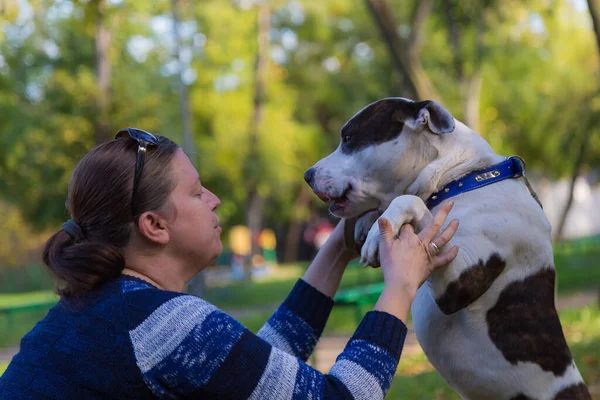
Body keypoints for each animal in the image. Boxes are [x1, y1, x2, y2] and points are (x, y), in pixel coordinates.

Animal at [304, 98, 592, 400]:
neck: (461, 179)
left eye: (349, 138)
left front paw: (377, 229)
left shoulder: (458, 285)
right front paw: (366, 223)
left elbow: (412, 202)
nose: (307, 175)